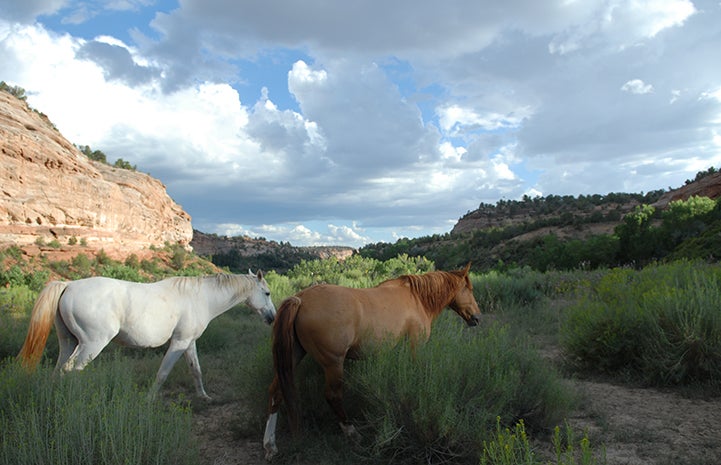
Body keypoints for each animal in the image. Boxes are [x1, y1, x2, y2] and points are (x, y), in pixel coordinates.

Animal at [18, 270, 276, 399]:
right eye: (267, 292)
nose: (272, 317)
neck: (201, 297)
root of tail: (69, 285)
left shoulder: (188, 342)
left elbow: (196, 370)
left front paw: (204, 397)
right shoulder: (179, 343)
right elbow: (162, 374)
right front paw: (150, 400)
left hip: (69, 342)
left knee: (58, 370)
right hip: (90, 345)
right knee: (70, 370)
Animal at [262, 263, 481, 460]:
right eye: (468, 289)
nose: (477, 317)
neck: (417, 299)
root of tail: (301, 299)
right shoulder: (415, 348)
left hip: (294, 357)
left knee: (275, 392)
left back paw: (270, 446)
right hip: (333, 364)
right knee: (333, 396)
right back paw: (353, 434)